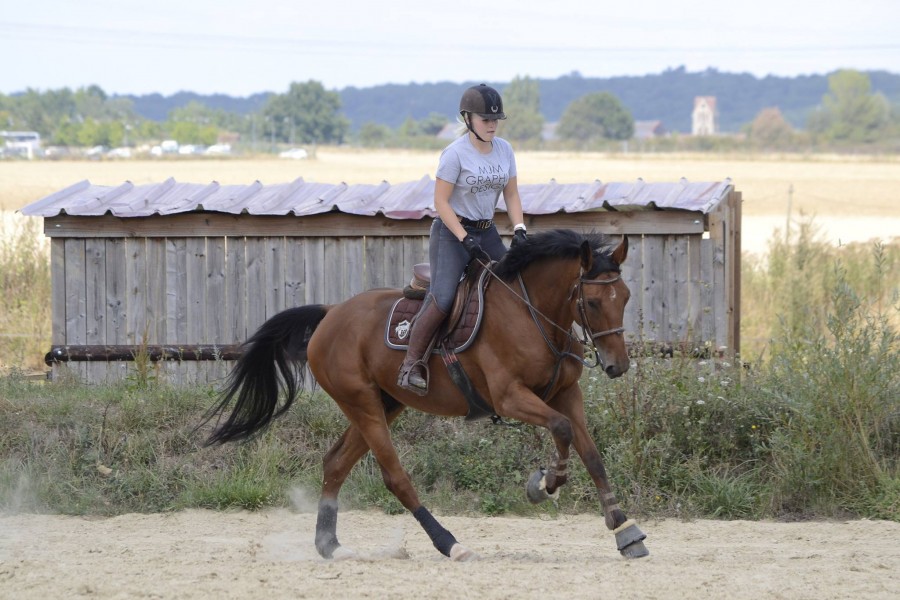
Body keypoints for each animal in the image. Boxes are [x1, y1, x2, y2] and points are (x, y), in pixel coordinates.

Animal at [201, 230, 652, 564]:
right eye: (591, 301)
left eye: (626, 297)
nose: (617, 366)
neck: (531, 314)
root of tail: (331, 313)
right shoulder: (510, 398)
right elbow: (561, 430)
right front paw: (544, 483)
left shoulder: (566, 393)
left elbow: (590, 452)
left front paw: (624, 529)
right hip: (362, 403)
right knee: (395, 478)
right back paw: (450, 544)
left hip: (384, 404)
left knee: (335, 463)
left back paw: (330, 545)